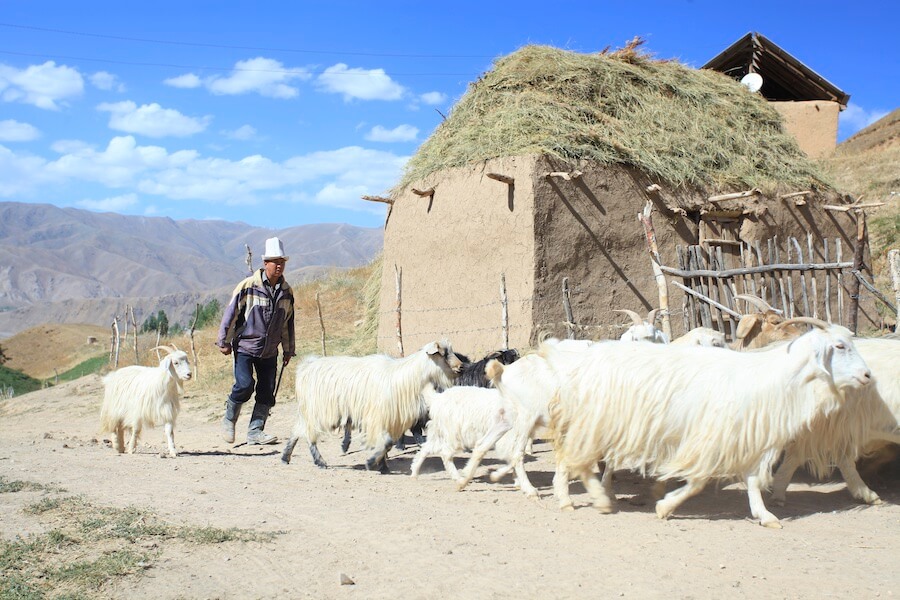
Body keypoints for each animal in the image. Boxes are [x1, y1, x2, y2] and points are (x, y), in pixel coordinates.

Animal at [282, 342, 464, 474]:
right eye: (444, 353)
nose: (461, 367)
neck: (405, 378)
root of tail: (306, 366)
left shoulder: (389, 419)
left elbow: (386, 443)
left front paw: (381, 466)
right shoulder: (377, 417)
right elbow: (386, 443)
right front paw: (372, 463)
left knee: (296, 430)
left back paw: (285, 457)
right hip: (320, 411)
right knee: (308, 434)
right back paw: (319, 461)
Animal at [544, 318, 868, 524]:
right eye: (839, 346)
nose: (867, 376)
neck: (769, 377)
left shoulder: (746, 439)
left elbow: (752, 480)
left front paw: (765, 515)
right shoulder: (711, 437)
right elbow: (698, 481)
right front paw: (665, 506)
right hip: (593, 422)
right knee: (572, 459)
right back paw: (582, 498)